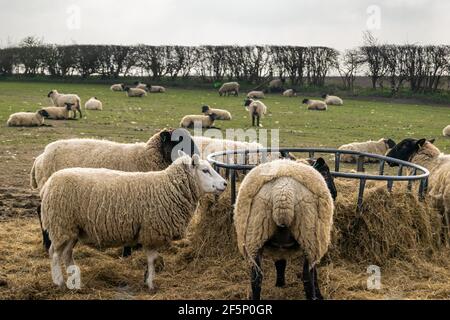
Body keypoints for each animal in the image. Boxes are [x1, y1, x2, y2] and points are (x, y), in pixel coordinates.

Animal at [40, 151, 227, 292]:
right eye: (205, 170)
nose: (225, 183)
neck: (168, 188)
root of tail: (49, 183)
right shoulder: (151, 231)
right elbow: (152, 259)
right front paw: (150, 283)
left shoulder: (150, 231)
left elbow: (153, 258)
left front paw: (147, 278)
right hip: (61, 224)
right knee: (54, 254)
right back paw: (60, 283)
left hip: (71, 229)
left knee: (66, 254)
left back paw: (75, 281)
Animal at [236, 160, 334, 300]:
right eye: (325, 172)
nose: (335, 192)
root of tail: (283, 192)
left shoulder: (279, 247)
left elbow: (280, 263)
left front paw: (280, 283)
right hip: (310, 237)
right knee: (307, 276)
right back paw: (314, 295)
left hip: (254, 236)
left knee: (256, 279)